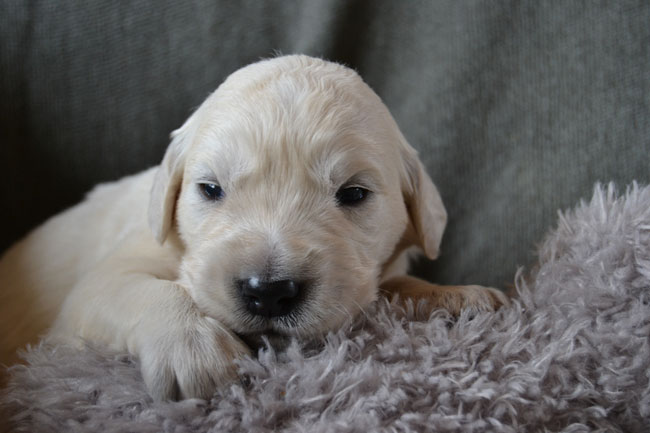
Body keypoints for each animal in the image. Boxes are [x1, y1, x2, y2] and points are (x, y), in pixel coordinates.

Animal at [0, 55, 506, 400]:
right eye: (210, 189)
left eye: (354, 194)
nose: (268, 292)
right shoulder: (101, 284)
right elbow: (139, 289)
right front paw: (193, 348)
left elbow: (392, 284)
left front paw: (455, 296)